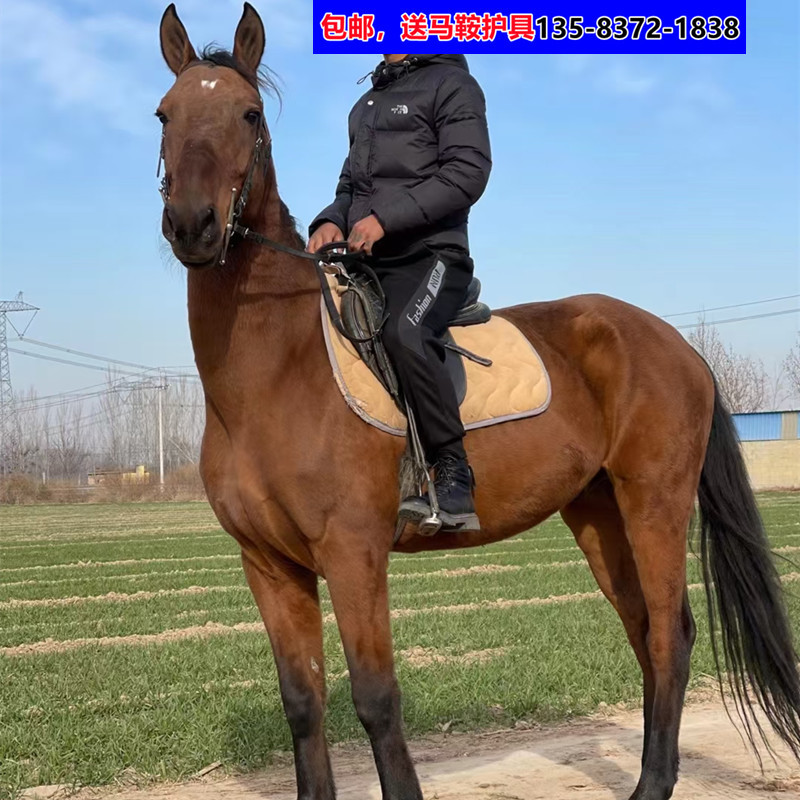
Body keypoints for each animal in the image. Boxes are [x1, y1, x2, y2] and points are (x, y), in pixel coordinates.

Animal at [154, 4, 800, 799]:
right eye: (165, 114)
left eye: (248, 115)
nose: (193, 225)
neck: (276, 374)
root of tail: (674, 342)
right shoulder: (269, 567)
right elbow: (303, 703)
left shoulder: (353, 553)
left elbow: (375, 699)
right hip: (598, 513)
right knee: (644, 632)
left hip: (654, 501)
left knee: (670, 635)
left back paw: (652, 784)